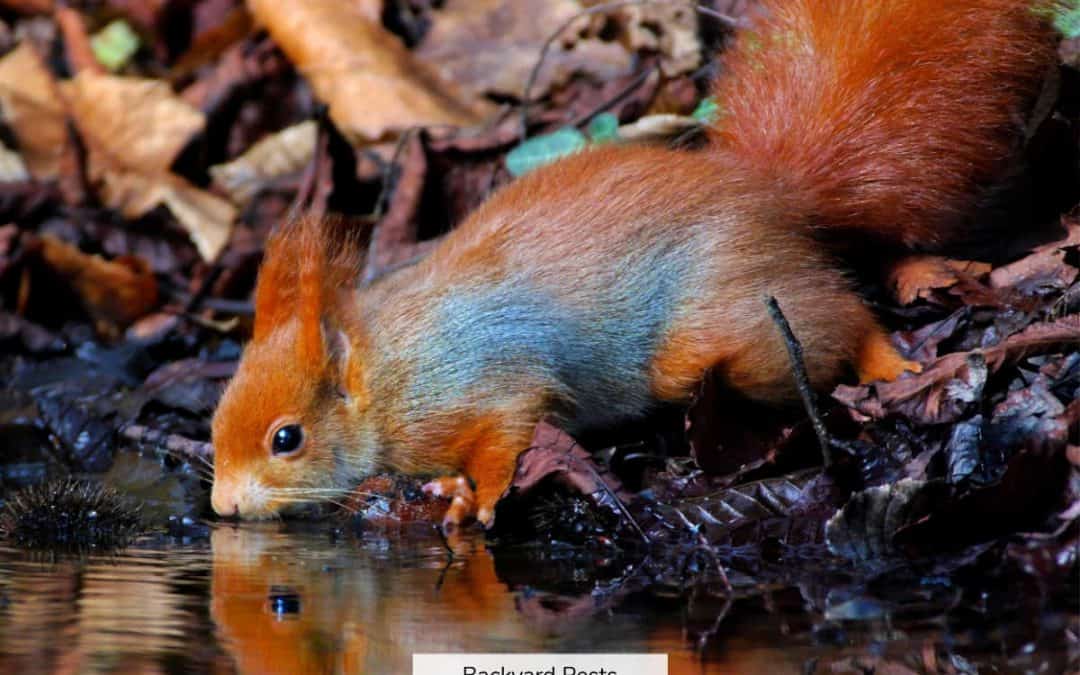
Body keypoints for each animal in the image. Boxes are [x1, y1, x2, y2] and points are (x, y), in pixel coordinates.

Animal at [210, 0, 1058, 526]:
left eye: (287, 438)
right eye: (216, 419)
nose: (221, 507)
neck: (386, 374)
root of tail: (764, 191)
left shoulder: (481, 385)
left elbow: (507, 430)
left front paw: (474, 495)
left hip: (724, 318)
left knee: (837, 314)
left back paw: (885, 358)